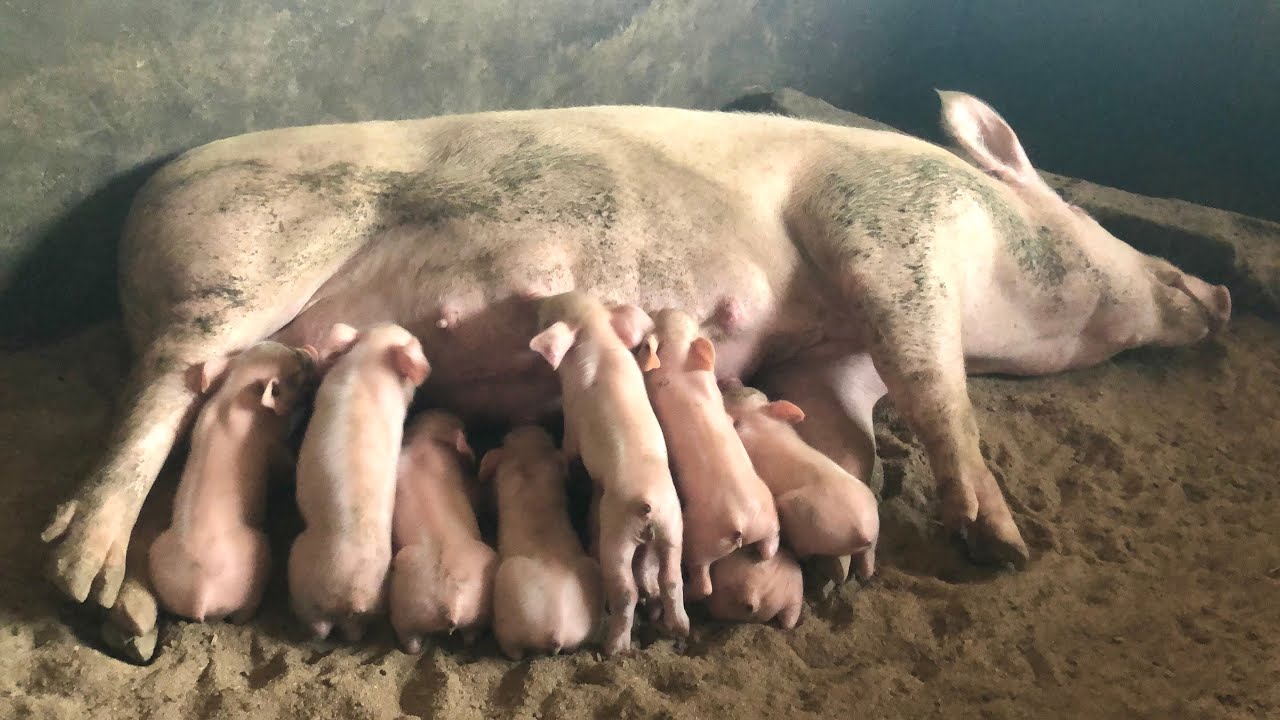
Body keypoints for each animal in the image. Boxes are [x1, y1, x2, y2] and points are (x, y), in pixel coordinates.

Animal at [147, 341, 318, 623]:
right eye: (296, 367)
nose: (308, 349)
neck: (236, 391)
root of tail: (201, 595)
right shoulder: (272, 448)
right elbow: (285, 464)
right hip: (258, 551)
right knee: (245, 611)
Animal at [480, 425, 603, 660]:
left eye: (506, 438)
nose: (526, 425)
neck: (530, 456)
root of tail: (556, 630)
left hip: (507, 584)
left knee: (512, 650)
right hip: (590, 573)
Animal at [528, 290, 689, 655]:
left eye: (549, 314)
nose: (537, 300)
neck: (599, 340)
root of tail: (648, 502)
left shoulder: (571, 414)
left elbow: (569, 446)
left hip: (617, 534)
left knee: (627, 590)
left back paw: (614, 649)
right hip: (673, 528)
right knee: (672, 580)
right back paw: (680, 629)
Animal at [636, 309, 780, 599]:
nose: (663, 308)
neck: (679, 361)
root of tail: (741, 522)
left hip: (699, 539)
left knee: (704, 584)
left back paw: (692, 592)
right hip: (769, 518)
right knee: (769, 549)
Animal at [720, 380, 880, 578]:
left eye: (743, 392)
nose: (730, 380)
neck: (758, 421)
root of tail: (864, 533)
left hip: (803, 516)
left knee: (802, 552)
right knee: (866, 568)